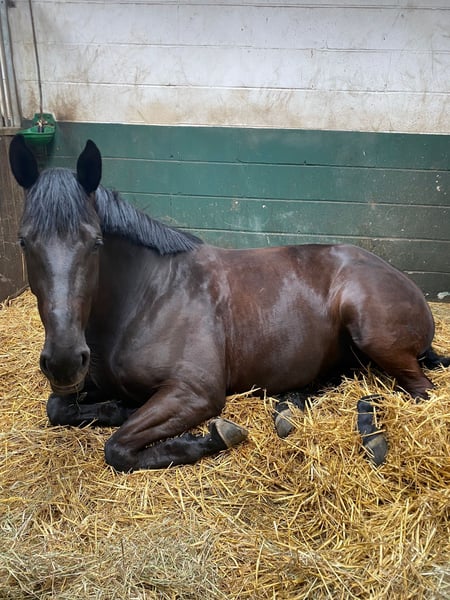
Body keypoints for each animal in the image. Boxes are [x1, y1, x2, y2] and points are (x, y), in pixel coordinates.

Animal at [9, 134, 449, 472]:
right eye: (24, 241)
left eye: (95, 242)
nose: (64, 361)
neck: (146, 298)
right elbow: (57, 408)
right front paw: (118, 408)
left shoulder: (195, 392)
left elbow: (117, 448)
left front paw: (213, 438)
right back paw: (289, 410)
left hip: (376, 338)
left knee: (418, 393)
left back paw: (370, 435)